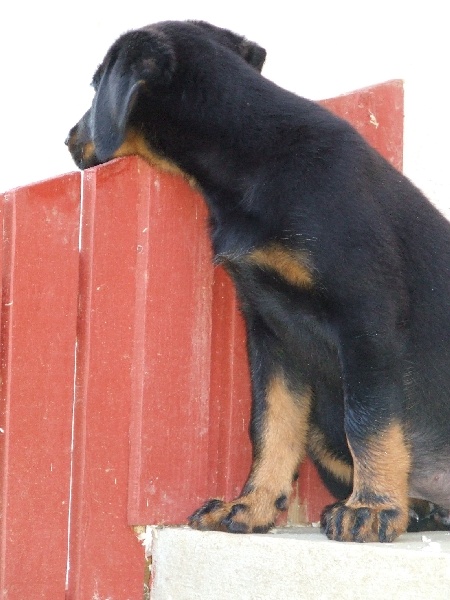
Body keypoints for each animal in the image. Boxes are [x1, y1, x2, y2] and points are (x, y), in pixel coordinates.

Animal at [67, 19, 450, 544]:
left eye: (94, 87)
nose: (68, 138)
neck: (254, 161)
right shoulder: (271, 332)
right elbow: (271, 424)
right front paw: (251, 505)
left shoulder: (366, 315)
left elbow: (369, 419)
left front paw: (372, 508)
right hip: (321, 424)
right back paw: (421, 509)